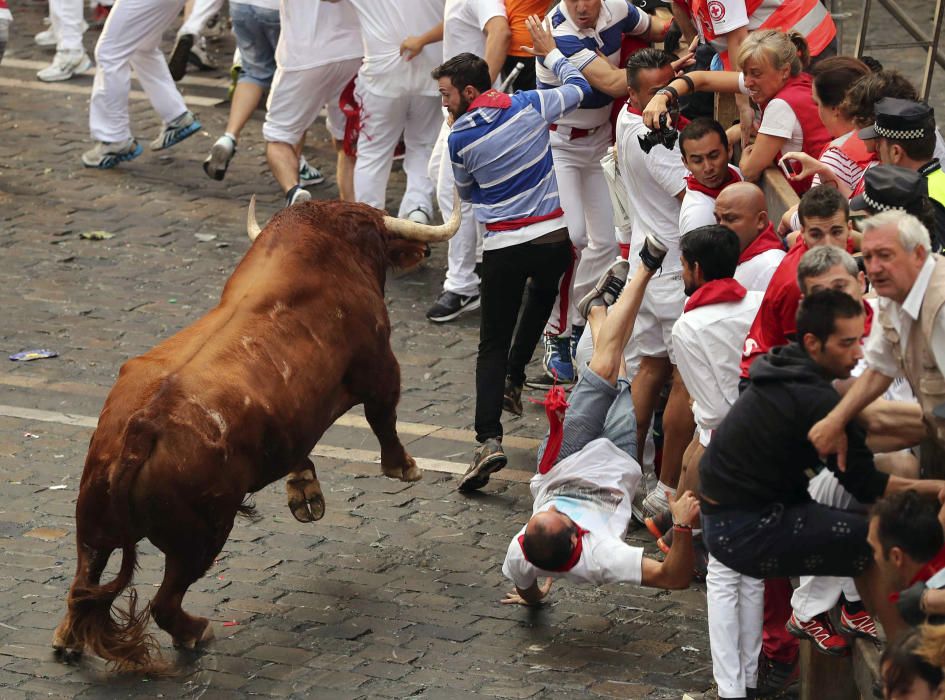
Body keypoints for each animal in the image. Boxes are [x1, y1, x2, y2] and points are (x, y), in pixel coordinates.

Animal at [53, 197, 460, 672]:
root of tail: (143, 427)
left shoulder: (294, 421)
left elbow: (300, 446)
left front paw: (305, 493)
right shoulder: (380, 367)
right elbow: (384, 418)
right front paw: (405, 467)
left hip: (92, 523)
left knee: (83, 584)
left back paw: (67, 639)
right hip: (202, 536)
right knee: (163, 603)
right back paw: (197, 631)